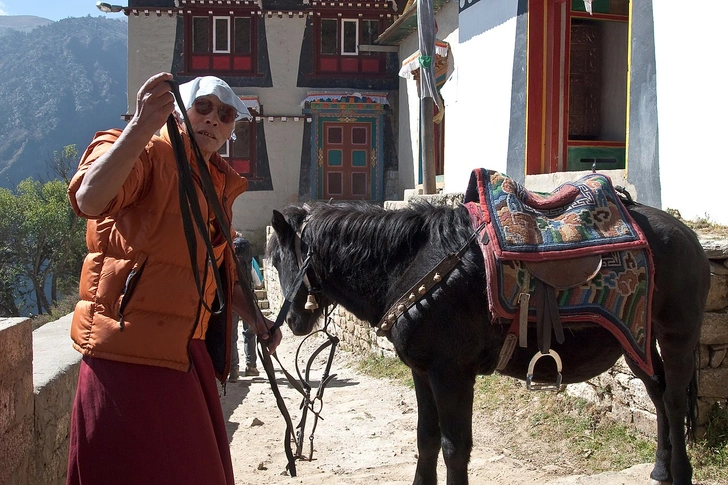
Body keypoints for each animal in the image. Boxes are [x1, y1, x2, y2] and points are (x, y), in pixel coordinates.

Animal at [268, 195, 712, 482]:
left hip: (676, 335)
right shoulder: (422, 373)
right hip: (635, 340)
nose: (293, 322)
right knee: (657, 393)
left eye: (276, 258)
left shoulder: (452, 375)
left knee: (673, 400)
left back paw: (681, 473)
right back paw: (661, 469)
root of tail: (689, 236)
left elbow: (454, 449)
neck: (414, 266)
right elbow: (427, 440)